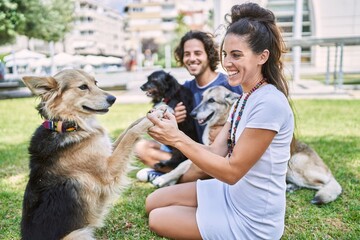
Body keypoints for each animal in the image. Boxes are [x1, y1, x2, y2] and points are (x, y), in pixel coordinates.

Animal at [20, 68, 164, 239]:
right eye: (83, 87)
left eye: (96, 83)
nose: (113, 98)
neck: (66, 124)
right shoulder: (108, 170)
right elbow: (131, 134)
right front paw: (151, 119)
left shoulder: (107, 149)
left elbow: (128, 129)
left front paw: (155, 111)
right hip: (78, 233)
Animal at [150, 86, 342, 204]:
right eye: (203, 98)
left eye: (211, 100)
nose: (192, 113)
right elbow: (181, 165)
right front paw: (168, 179)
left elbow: (182, 166)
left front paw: (163, 179)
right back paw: (289, 187)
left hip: (295, 164)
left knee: (323, 185)